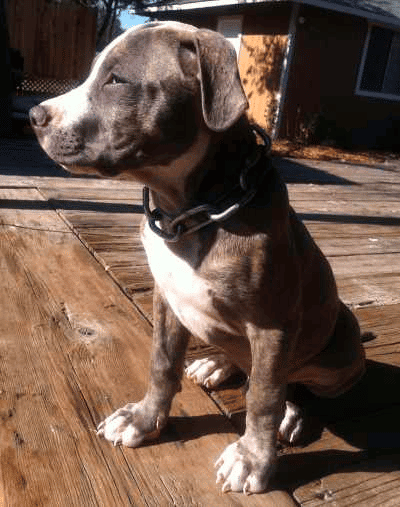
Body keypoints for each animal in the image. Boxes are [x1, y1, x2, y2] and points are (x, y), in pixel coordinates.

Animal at [29, 20, 364, 496]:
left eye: (117, 80)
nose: (35, 116)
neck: (187, 213)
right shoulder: (167, 300)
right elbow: (162, 363)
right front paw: (143, 419)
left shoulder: (273, 326)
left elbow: (264, 396)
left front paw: (252, 458)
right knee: (243, 360)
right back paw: (217, 362)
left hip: (341, 348)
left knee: (297, 383)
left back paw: (294, 413)